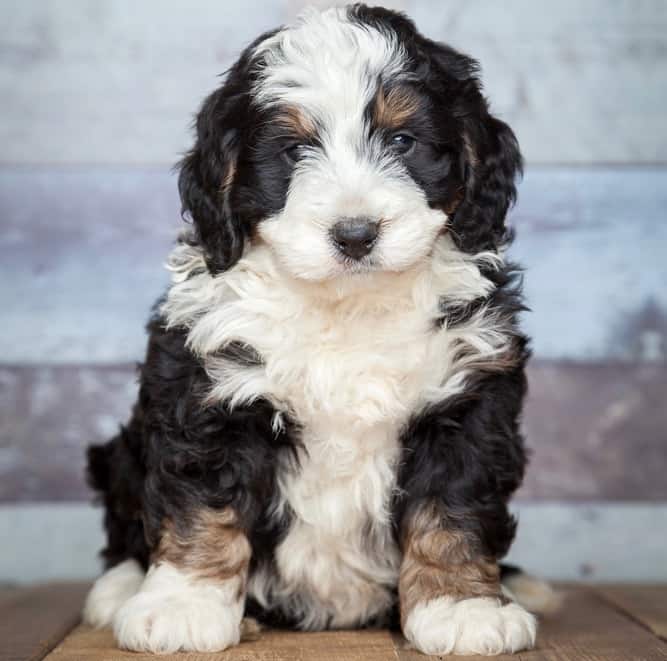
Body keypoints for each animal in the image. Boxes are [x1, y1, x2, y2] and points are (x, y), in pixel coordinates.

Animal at [81, 5, 556, 656]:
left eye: (402, 141)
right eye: (293, 149)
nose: (355, 234)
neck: (345, 306)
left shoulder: (469, 397)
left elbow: (454, 506)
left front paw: (463, 608)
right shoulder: (207, 390)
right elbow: (201, 502)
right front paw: (182, 606)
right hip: (121, 452)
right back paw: (119, 589)